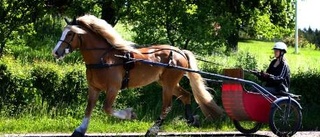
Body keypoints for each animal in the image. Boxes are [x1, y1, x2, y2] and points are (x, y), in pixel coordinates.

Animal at [52, 14, 222, 136]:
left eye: (70, 34)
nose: (55, 52)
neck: (104, 58)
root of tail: (179, 51)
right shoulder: (93, 88)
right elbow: (89, 108)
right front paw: (79, 130)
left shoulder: (113, 88)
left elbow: (107, 108)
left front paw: (130, 114)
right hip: (167, 82)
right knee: (186, 95)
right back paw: (191, 119)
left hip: (168, 84)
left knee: (167, 106)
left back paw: (152, 130)